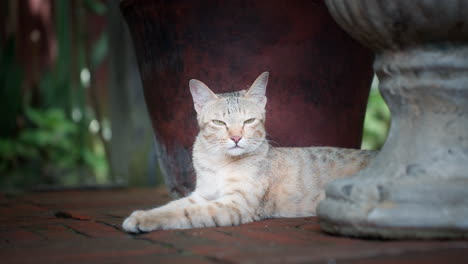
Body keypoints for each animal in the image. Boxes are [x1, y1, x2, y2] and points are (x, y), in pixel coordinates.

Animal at [121, 72, 376, 233]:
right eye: (219, 123)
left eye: (249, 121)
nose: (236, 138)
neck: (219, 163)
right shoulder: (201, 195)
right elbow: (172, 207)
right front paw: (141, 215)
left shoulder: (235, 204)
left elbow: (186, 213)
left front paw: (144, 220)